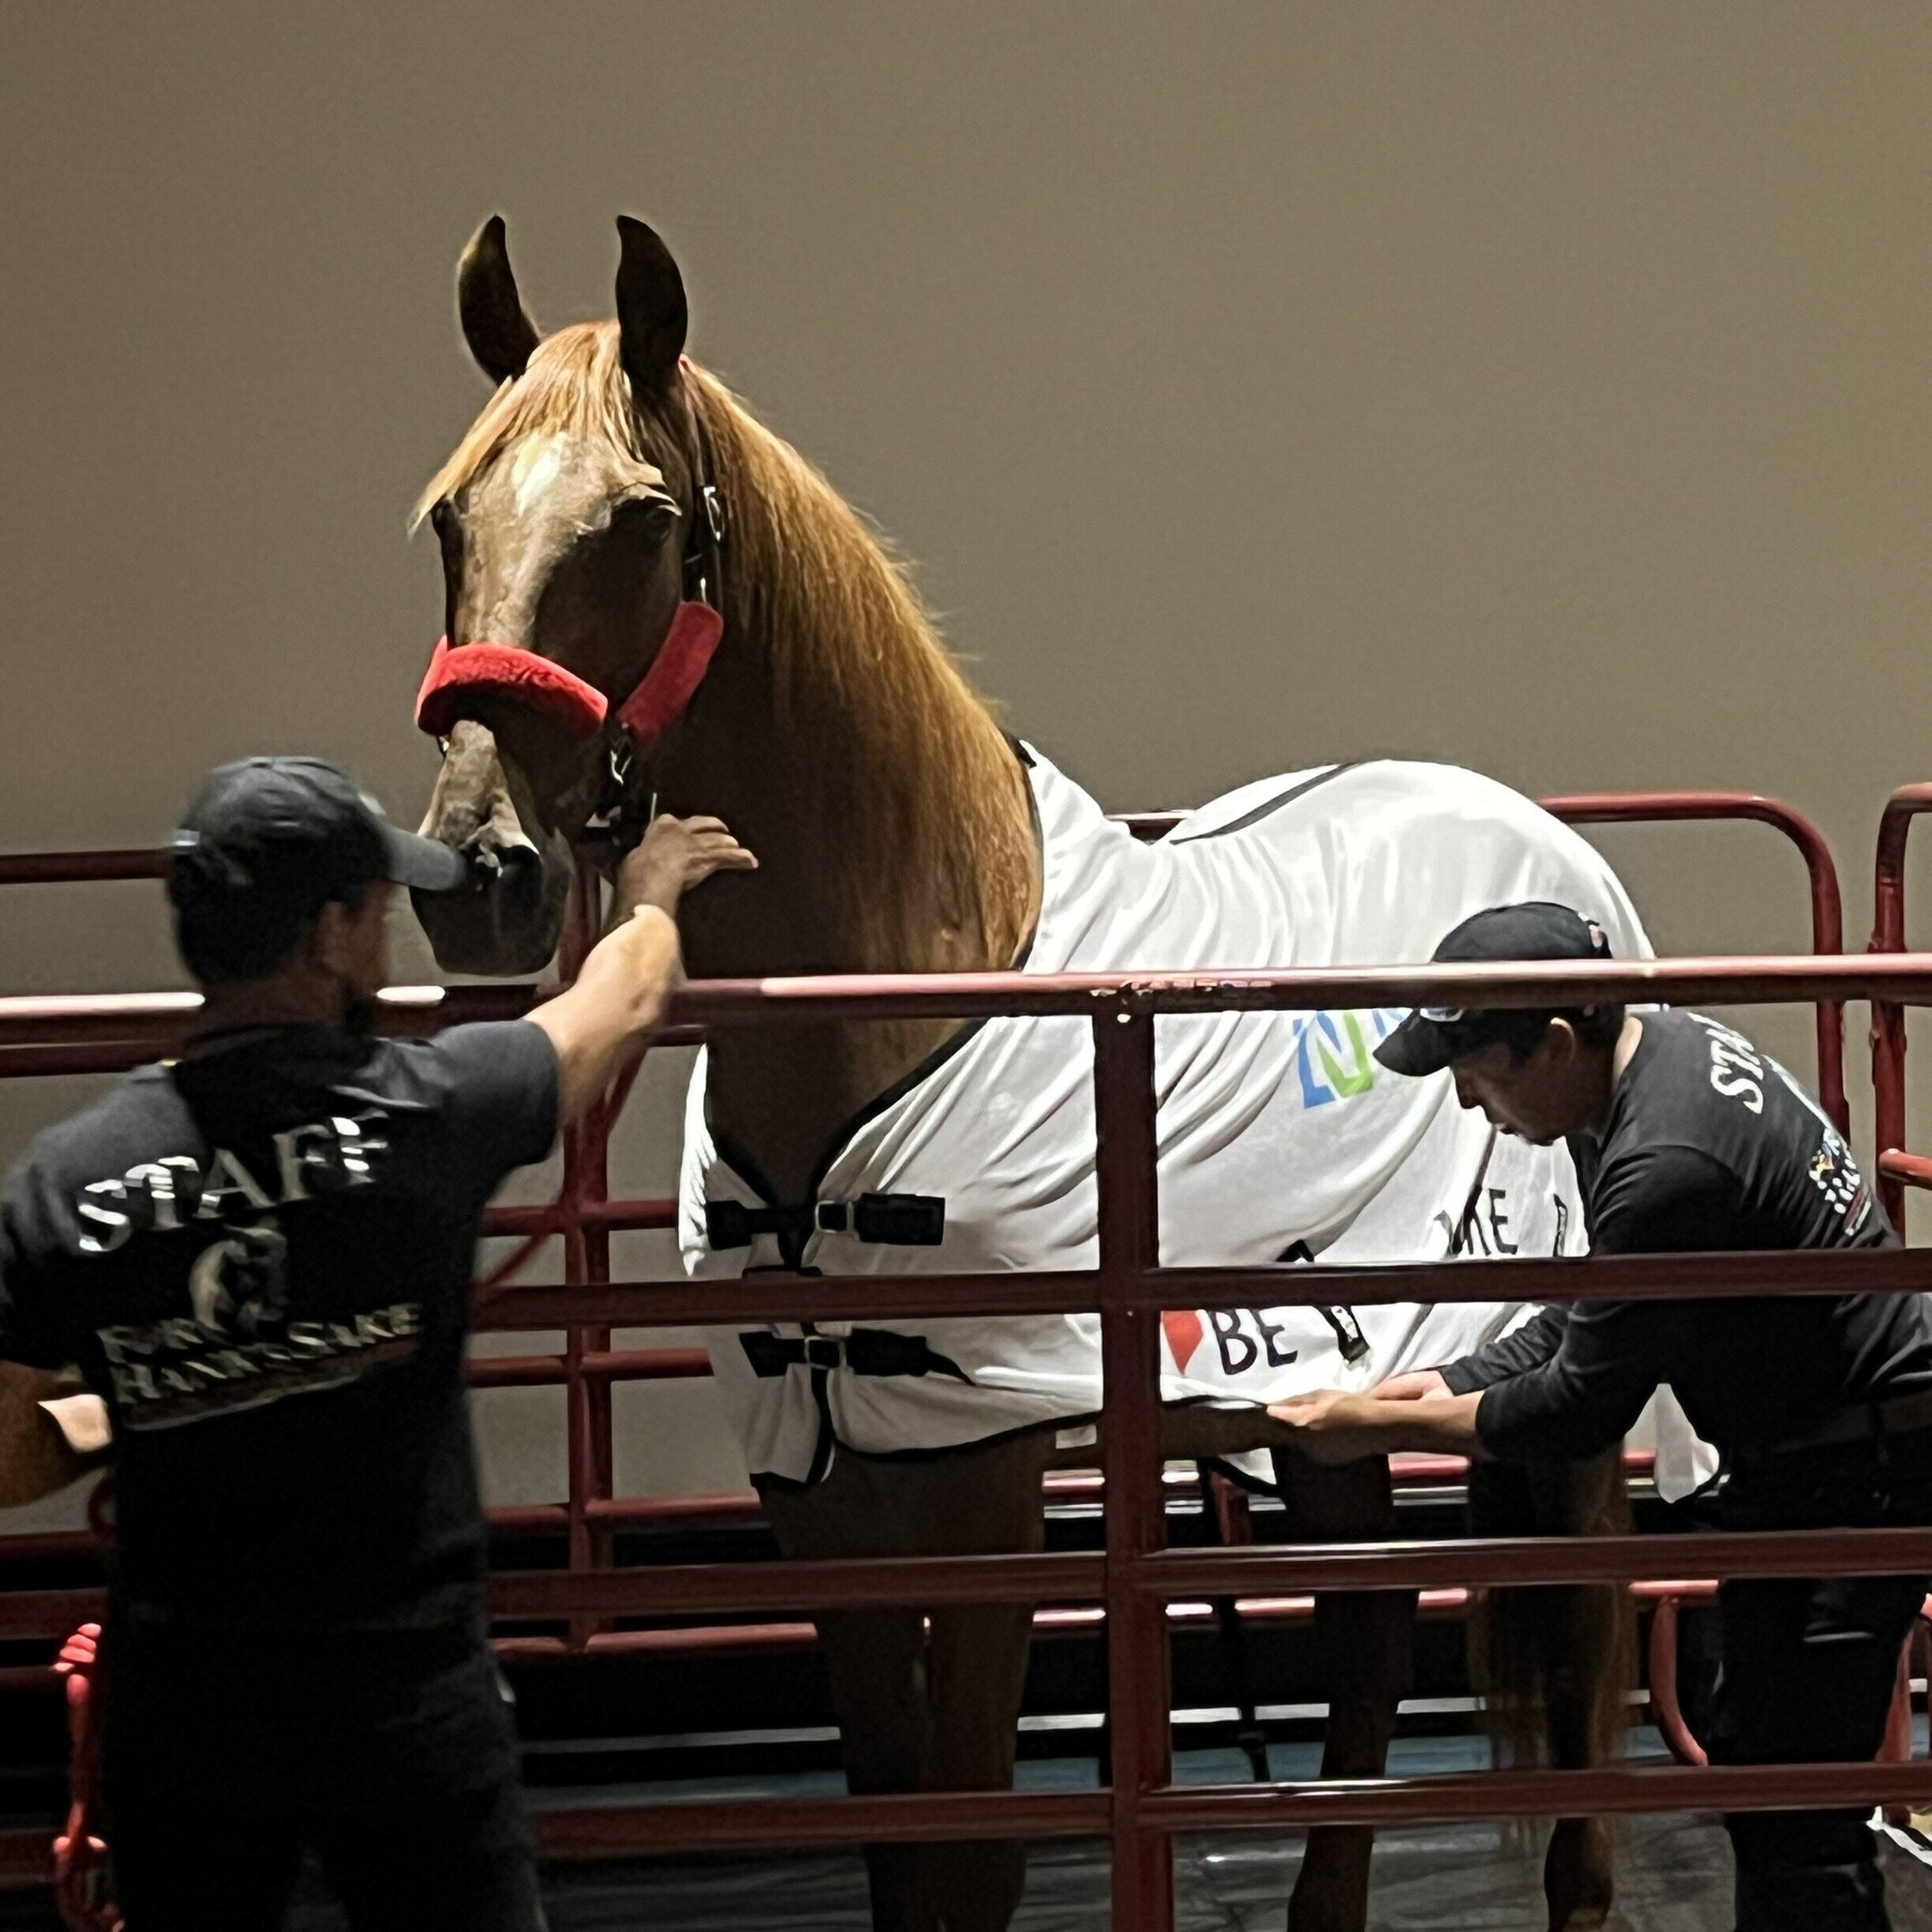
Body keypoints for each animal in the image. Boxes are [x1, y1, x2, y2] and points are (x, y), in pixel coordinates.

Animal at [410, 214, 1638, 1932]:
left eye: (641, 523)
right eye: (451, 518)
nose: (479, 874)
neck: (894, 990)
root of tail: (1549, 852)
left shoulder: (978, 1476)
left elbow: (973, 1847)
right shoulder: (820, 1492)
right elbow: (893, 1823)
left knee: (1583, 1633)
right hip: (1322, 1391)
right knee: (1368, 1637)